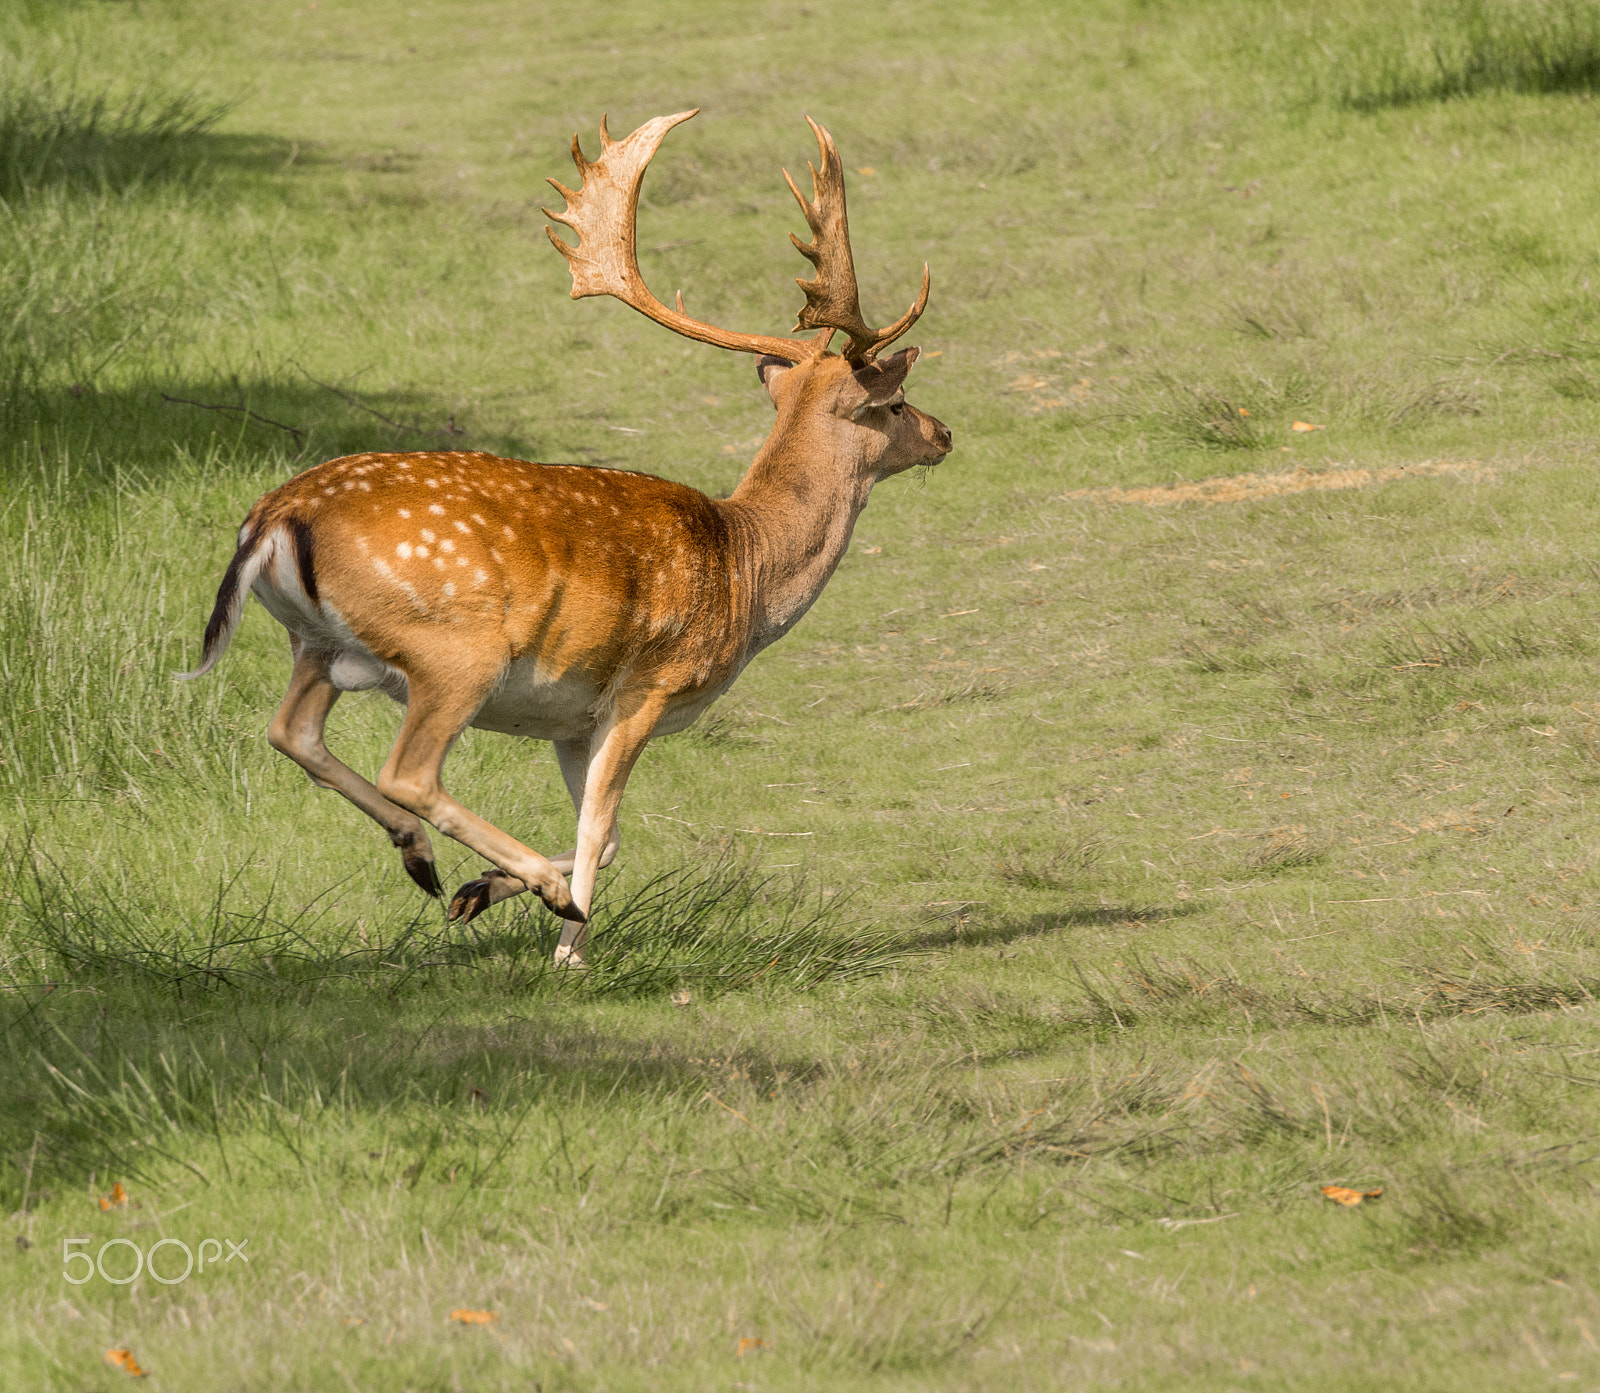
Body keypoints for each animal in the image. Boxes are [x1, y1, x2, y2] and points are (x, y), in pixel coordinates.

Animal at [178, 108, 947, 965]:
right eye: (897, 401)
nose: (944, 433)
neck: (746, 565)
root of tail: (273, 517)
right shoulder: (646, 688)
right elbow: (601, 827)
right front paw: (568, 948)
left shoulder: (571, 721)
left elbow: (602, 837)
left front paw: (482, 893)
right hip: (453, 648)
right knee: (405, 769)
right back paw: (536, 888)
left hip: (313, 642)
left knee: (292, 731)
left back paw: (429, 862)